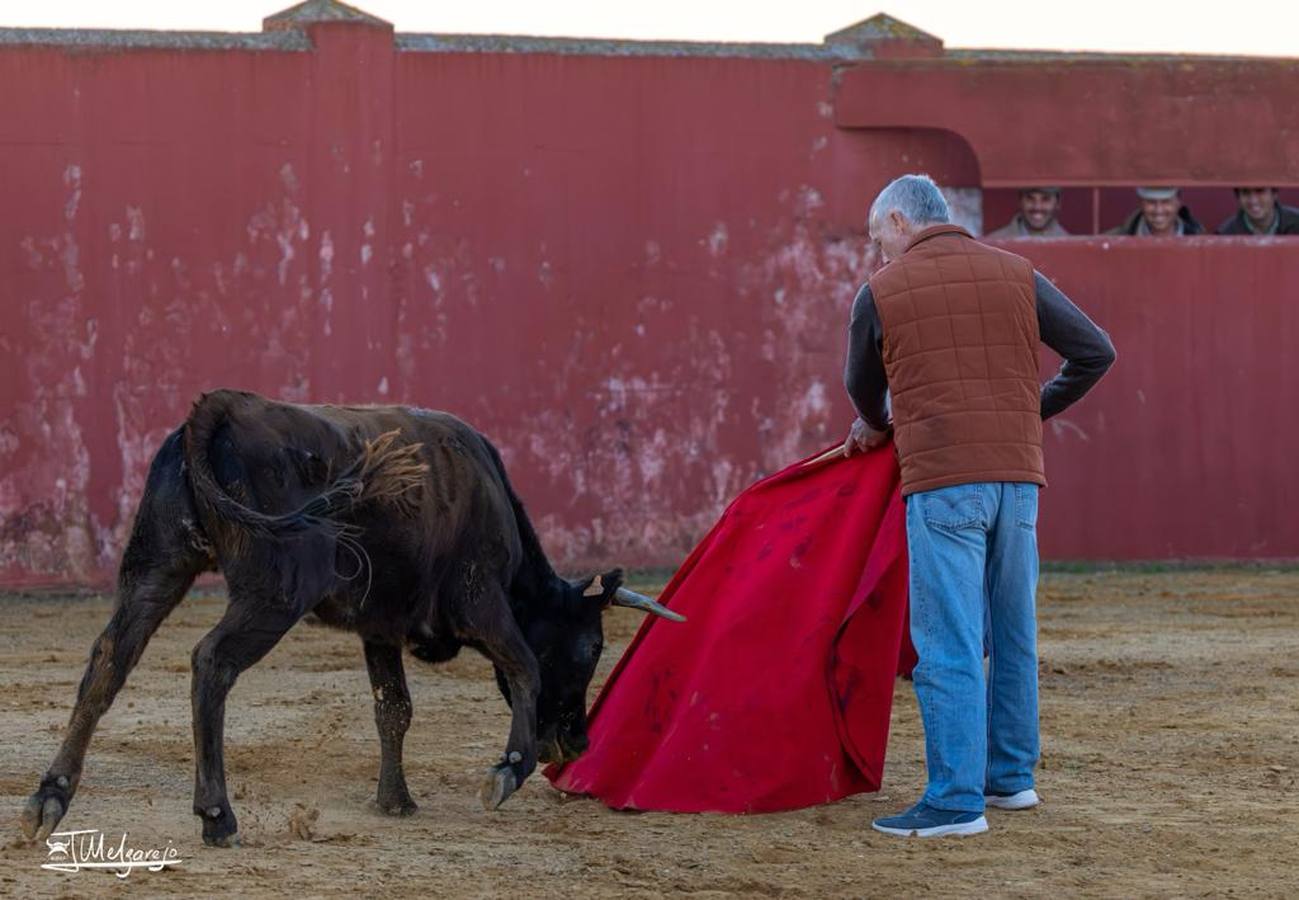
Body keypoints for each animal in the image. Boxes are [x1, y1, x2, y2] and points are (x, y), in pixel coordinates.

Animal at [20, 389, 685, 846]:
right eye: (592, 647)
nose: (576, 742)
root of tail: (221, 409)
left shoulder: (380, 626)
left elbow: (393, 708)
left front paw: (396, 801)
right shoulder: (480, 599)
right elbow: (523, 665)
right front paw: (508, 771)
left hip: (157, 566)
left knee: (110, 661)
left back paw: (48, 800)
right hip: (273, 593)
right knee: (210, 663)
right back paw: (217, 815)